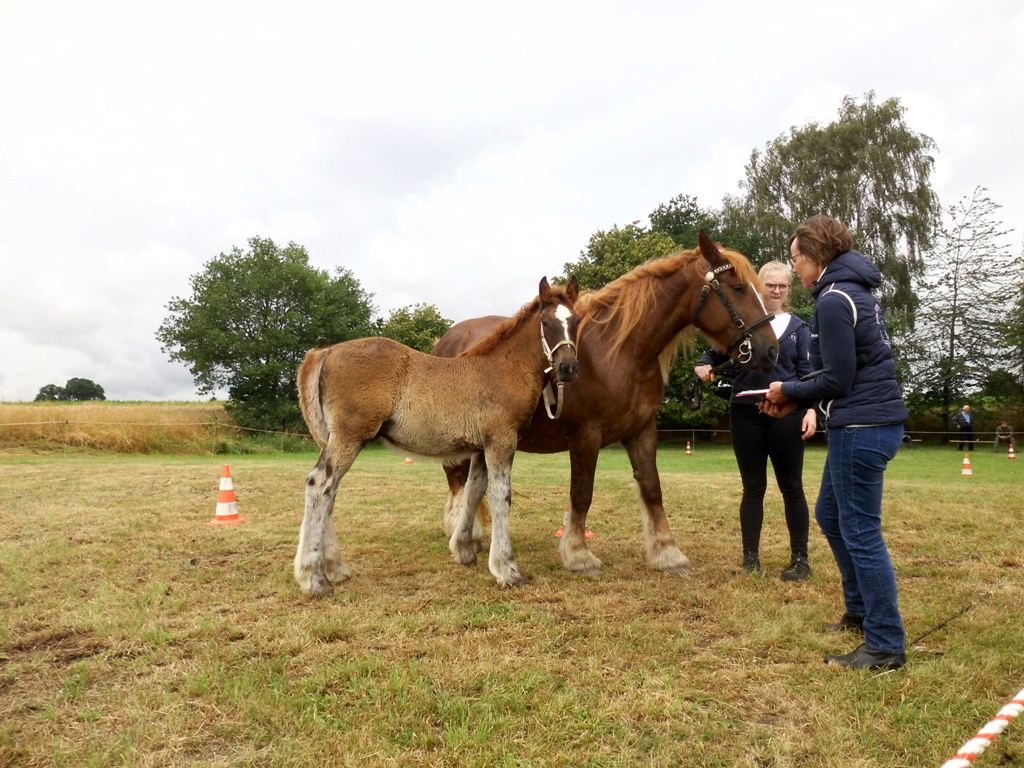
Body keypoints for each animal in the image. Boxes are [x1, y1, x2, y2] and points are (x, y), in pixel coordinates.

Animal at [294, 277, 581, 595]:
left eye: (576, 320)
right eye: (546, 322)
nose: (568, 367)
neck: (503, 369)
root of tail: (325, 352)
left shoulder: (480, 448)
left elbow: (473, 491)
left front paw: (464, 550)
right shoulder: (501, 442)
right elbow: (500, 497)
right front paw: (507, 570)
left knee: (329, 490)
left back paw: (334, 568)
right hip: (350, 437)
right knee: (320, 484)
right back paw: (315, 579)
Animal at [432, 232, 777, 576]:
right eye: (738, 287)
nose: (771, 349)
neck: (619, 353)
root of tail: (445, 341)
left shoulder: (642, 431)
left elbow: (652, 489)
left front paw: (668, 553)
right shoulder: (585, 436)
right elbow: (582, 493)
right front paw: (578, 554)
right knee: (458, 484)